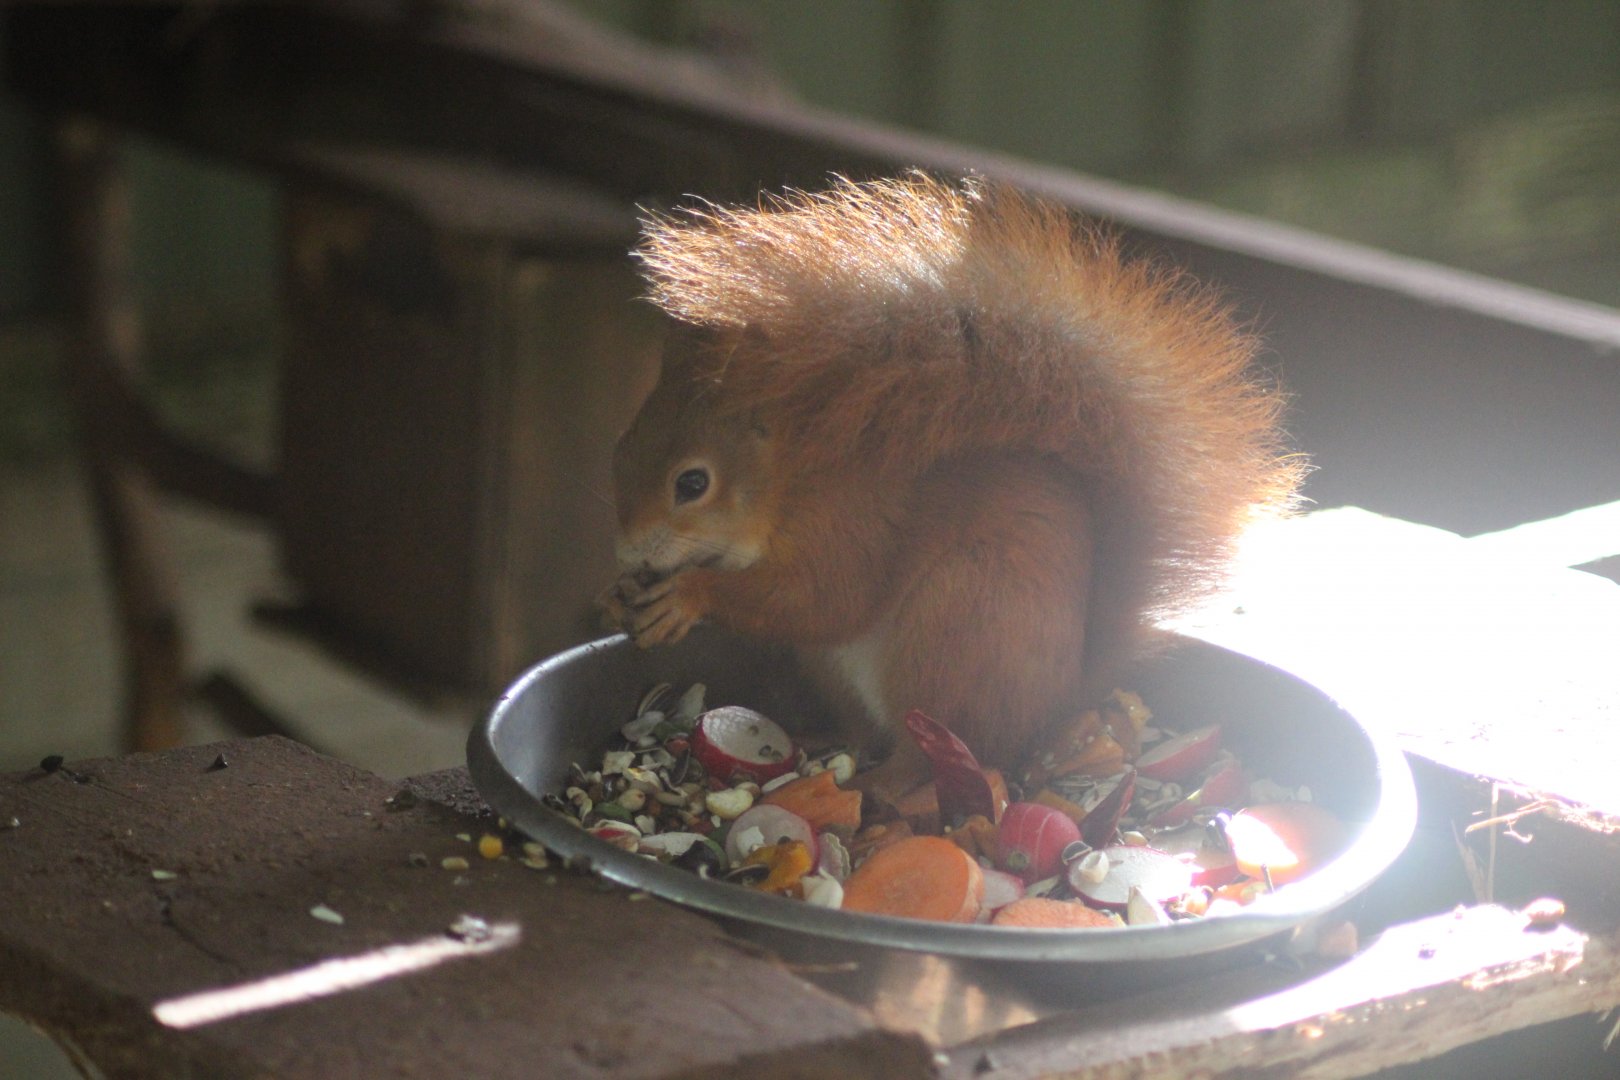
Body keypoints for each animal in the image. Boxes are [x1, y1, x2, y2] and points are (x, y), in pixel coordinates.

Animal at [602, 174, 1304, 800]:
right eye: (621, 445)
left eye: (693, 483)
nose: (628, 549)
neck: (791, 477)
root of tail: (1055, 703)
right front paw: (623, 594)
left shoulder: (849, 522)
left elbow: (825, 598)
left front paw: (687, 595)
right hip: (841, 664)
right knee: (869, 729)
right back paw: (832, 747)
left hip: (955, 629)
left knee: (927, 751)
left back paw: (875, 787)